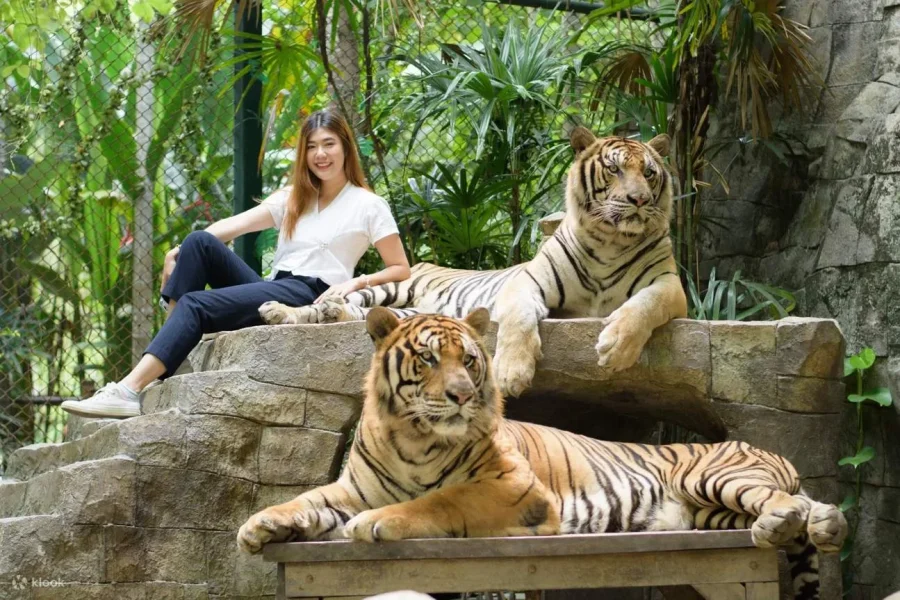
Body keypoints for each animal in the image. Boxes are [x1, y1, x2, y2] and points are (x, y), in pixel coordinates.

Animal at [238, 309, 847, 600]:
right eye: (429, 359)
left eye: (469, 359)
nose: (461, 394)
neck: (413, 435)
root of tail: (766, 448)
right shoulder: (352, 488)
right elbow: (308, 500)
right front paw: (258, 526)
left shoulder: (513, 488)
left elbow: (437, 503)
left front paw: (375, 524)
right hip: (710, 510)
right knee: (809, 509)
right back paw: (811, 527)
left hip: (716, 478)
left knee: (794, 505)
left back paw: (784, 525)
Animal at [257, 127, 687, 398]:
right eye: (614, 169)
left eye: (649, 173)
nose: (638, 200)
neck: (610, 241)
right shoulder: (526, 282)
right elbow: (517, 320)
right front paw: (512, 373)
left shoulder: (671, 286)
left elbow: (643, 305)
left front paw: (616, 348)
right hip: (392, 285)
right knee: (323, 306)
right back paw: (280, 311)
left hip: (409, 310)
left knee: (360, 314)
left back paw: (326, 312)